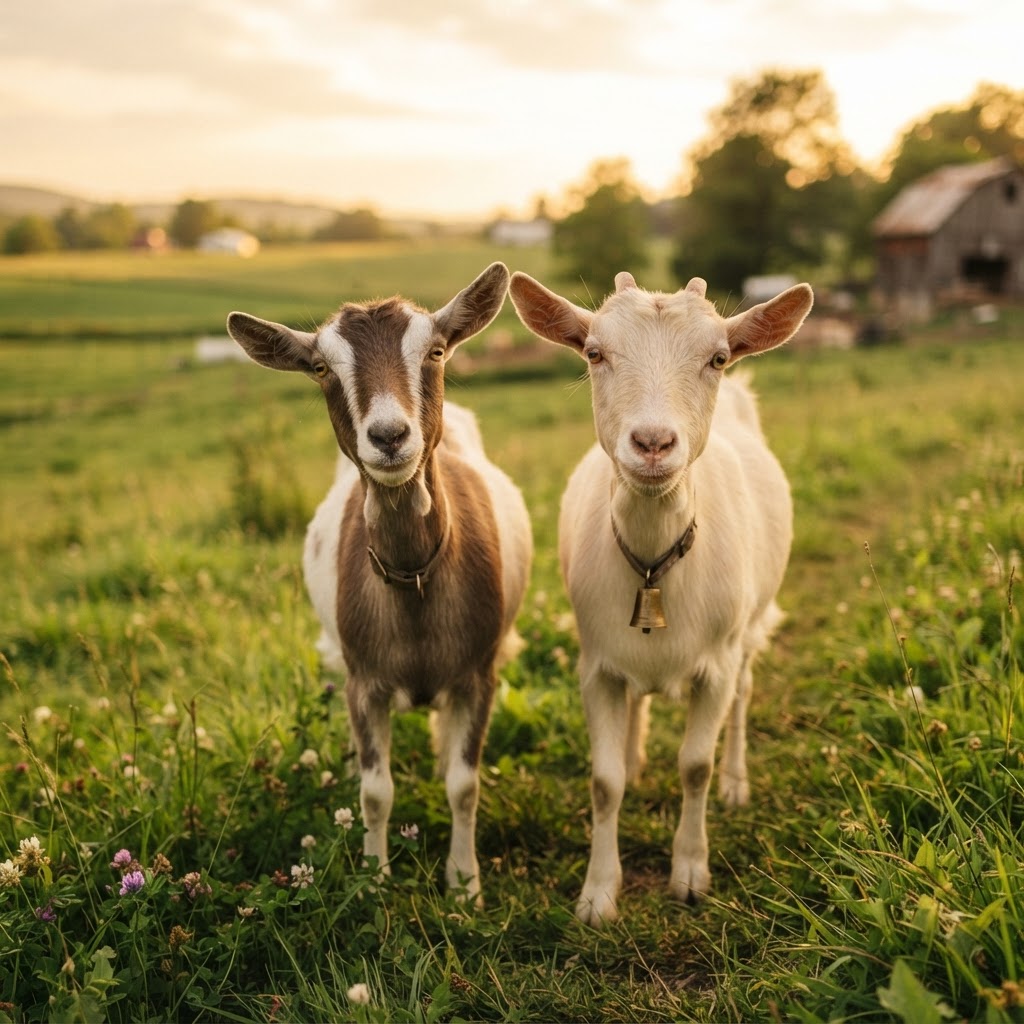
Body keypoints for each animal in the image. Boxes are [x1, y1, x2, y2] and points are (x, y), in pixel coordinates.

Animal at [227, 262, 532, 903]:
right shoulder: (364, 681)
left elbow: (464, 785)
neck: (413, 579)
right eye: (321, 367)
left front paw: (465, 884)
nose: (389, 436)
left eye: (436, 350)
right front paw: (373, 879)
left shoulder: (478, 675)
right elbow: (375, 791)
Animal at [509, 270, 812, 924]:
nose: (652, 442)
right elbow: (604, 780)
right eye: (593, 353)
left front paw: (690, 875)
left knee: (744, 696)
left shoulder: (717, 663)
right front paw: (598, 893)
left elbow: (695, 766)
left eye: (717, 358)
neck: (652, 563)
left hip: (749, 633)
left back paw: (736, 783)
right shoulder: (596, 665)